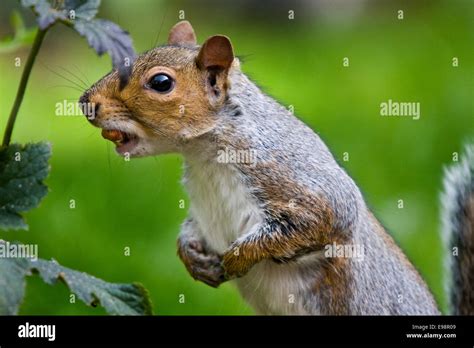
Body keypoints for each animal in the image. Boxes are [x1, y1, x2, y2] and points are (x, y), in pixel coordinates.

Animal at [79, 21, 472, 316]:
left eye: (160, 83)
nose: (85, 102)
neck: (206, 155)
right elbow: (192, 229)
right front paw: (191, 256)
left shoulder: (291, 177)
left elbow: (321, 219)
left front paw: (238, 258)